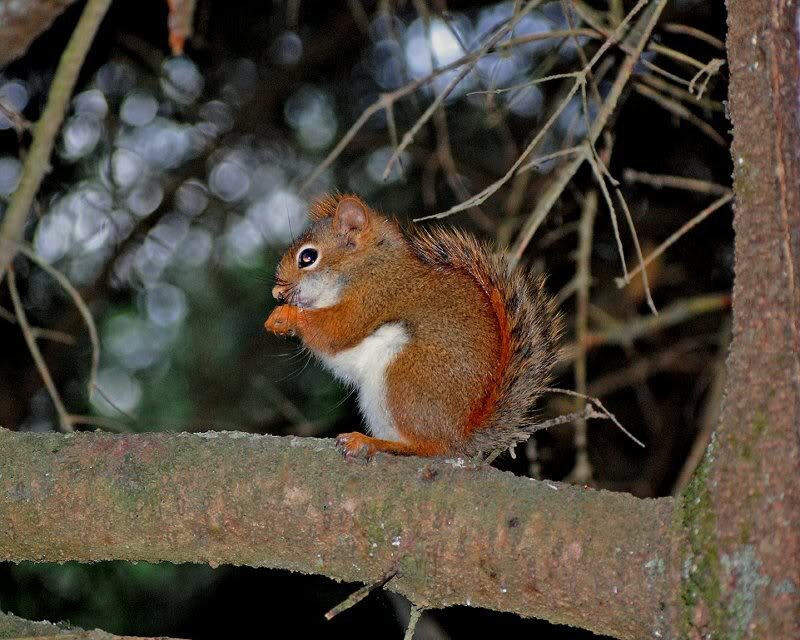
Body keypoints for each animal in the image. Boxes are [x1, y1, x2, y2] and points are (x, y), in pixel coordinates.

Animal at [265, 194, 562, 459]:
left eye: (307, 257)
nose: (277, 292)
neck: (364, 265)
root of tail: (459, 434)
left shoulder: (373, 296)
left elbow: (336, 331)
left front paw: (286, 316)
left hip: (404, 375)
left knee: (430, 447)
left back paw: (372, 443)